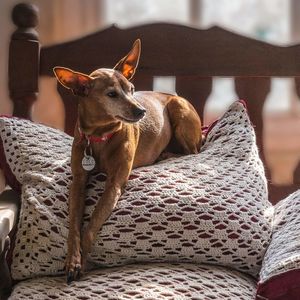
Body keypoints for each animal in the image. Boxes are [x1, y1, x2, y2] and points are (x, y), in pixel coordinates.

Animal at [53, 40, 202, 284]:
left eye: (132, 90)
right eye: (112, 94)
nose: (141, 111)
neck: (100, 137)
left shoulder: (114, 184)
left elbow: (91, 225)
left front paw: (82, 261)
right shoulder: (78, 181)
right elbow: (74, 225)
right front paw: (72, 259)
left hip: (179, 111)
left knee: (192, 152)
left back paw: (165, 156)